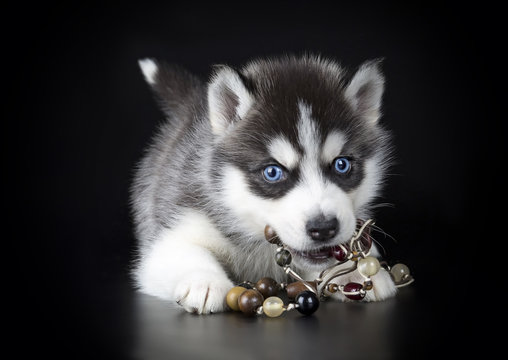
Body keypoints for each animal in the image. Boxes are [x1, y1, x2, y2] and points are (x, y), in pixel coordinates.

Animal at [131, 54, 396, 314]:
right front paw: (203, 281)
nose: (323, 228)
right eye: (272, 172)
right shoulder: (180, 218)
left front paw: (354, 272)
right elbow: (183, 251)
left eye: (341, 164)